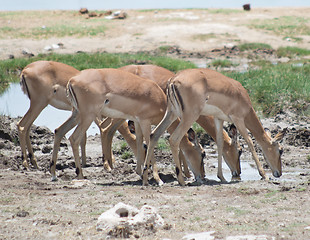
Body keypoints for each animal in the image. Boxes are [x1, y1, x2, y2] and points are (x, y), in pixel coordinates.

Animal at [65, 67, 206, 184]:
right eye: (203, 153)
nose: (202, 176)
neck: (158, 98)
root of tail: (72, 80)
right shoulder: (145, 121)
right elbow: (150, 144)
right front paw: (157, 179)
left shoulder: (137, 122)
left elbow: (139, 143)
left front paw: (141, 173)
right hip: (87, 116)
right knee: (74, 138)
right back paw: (81, 175)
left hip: (78, 114)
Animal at [143, 68, 286, 186]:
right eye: (280, 150)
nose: (279, 173)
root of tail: (173, 80)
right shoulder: (238, 119)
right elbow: (250, 141)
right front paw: (264, 175)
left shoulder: (219, 119)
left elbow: (220, 143)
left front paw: (221, 177)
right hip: (189, 116)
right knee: (173, 139)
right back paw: (181, 181)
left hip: (171, 113)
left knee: (154, 135)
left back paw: (146, 179)